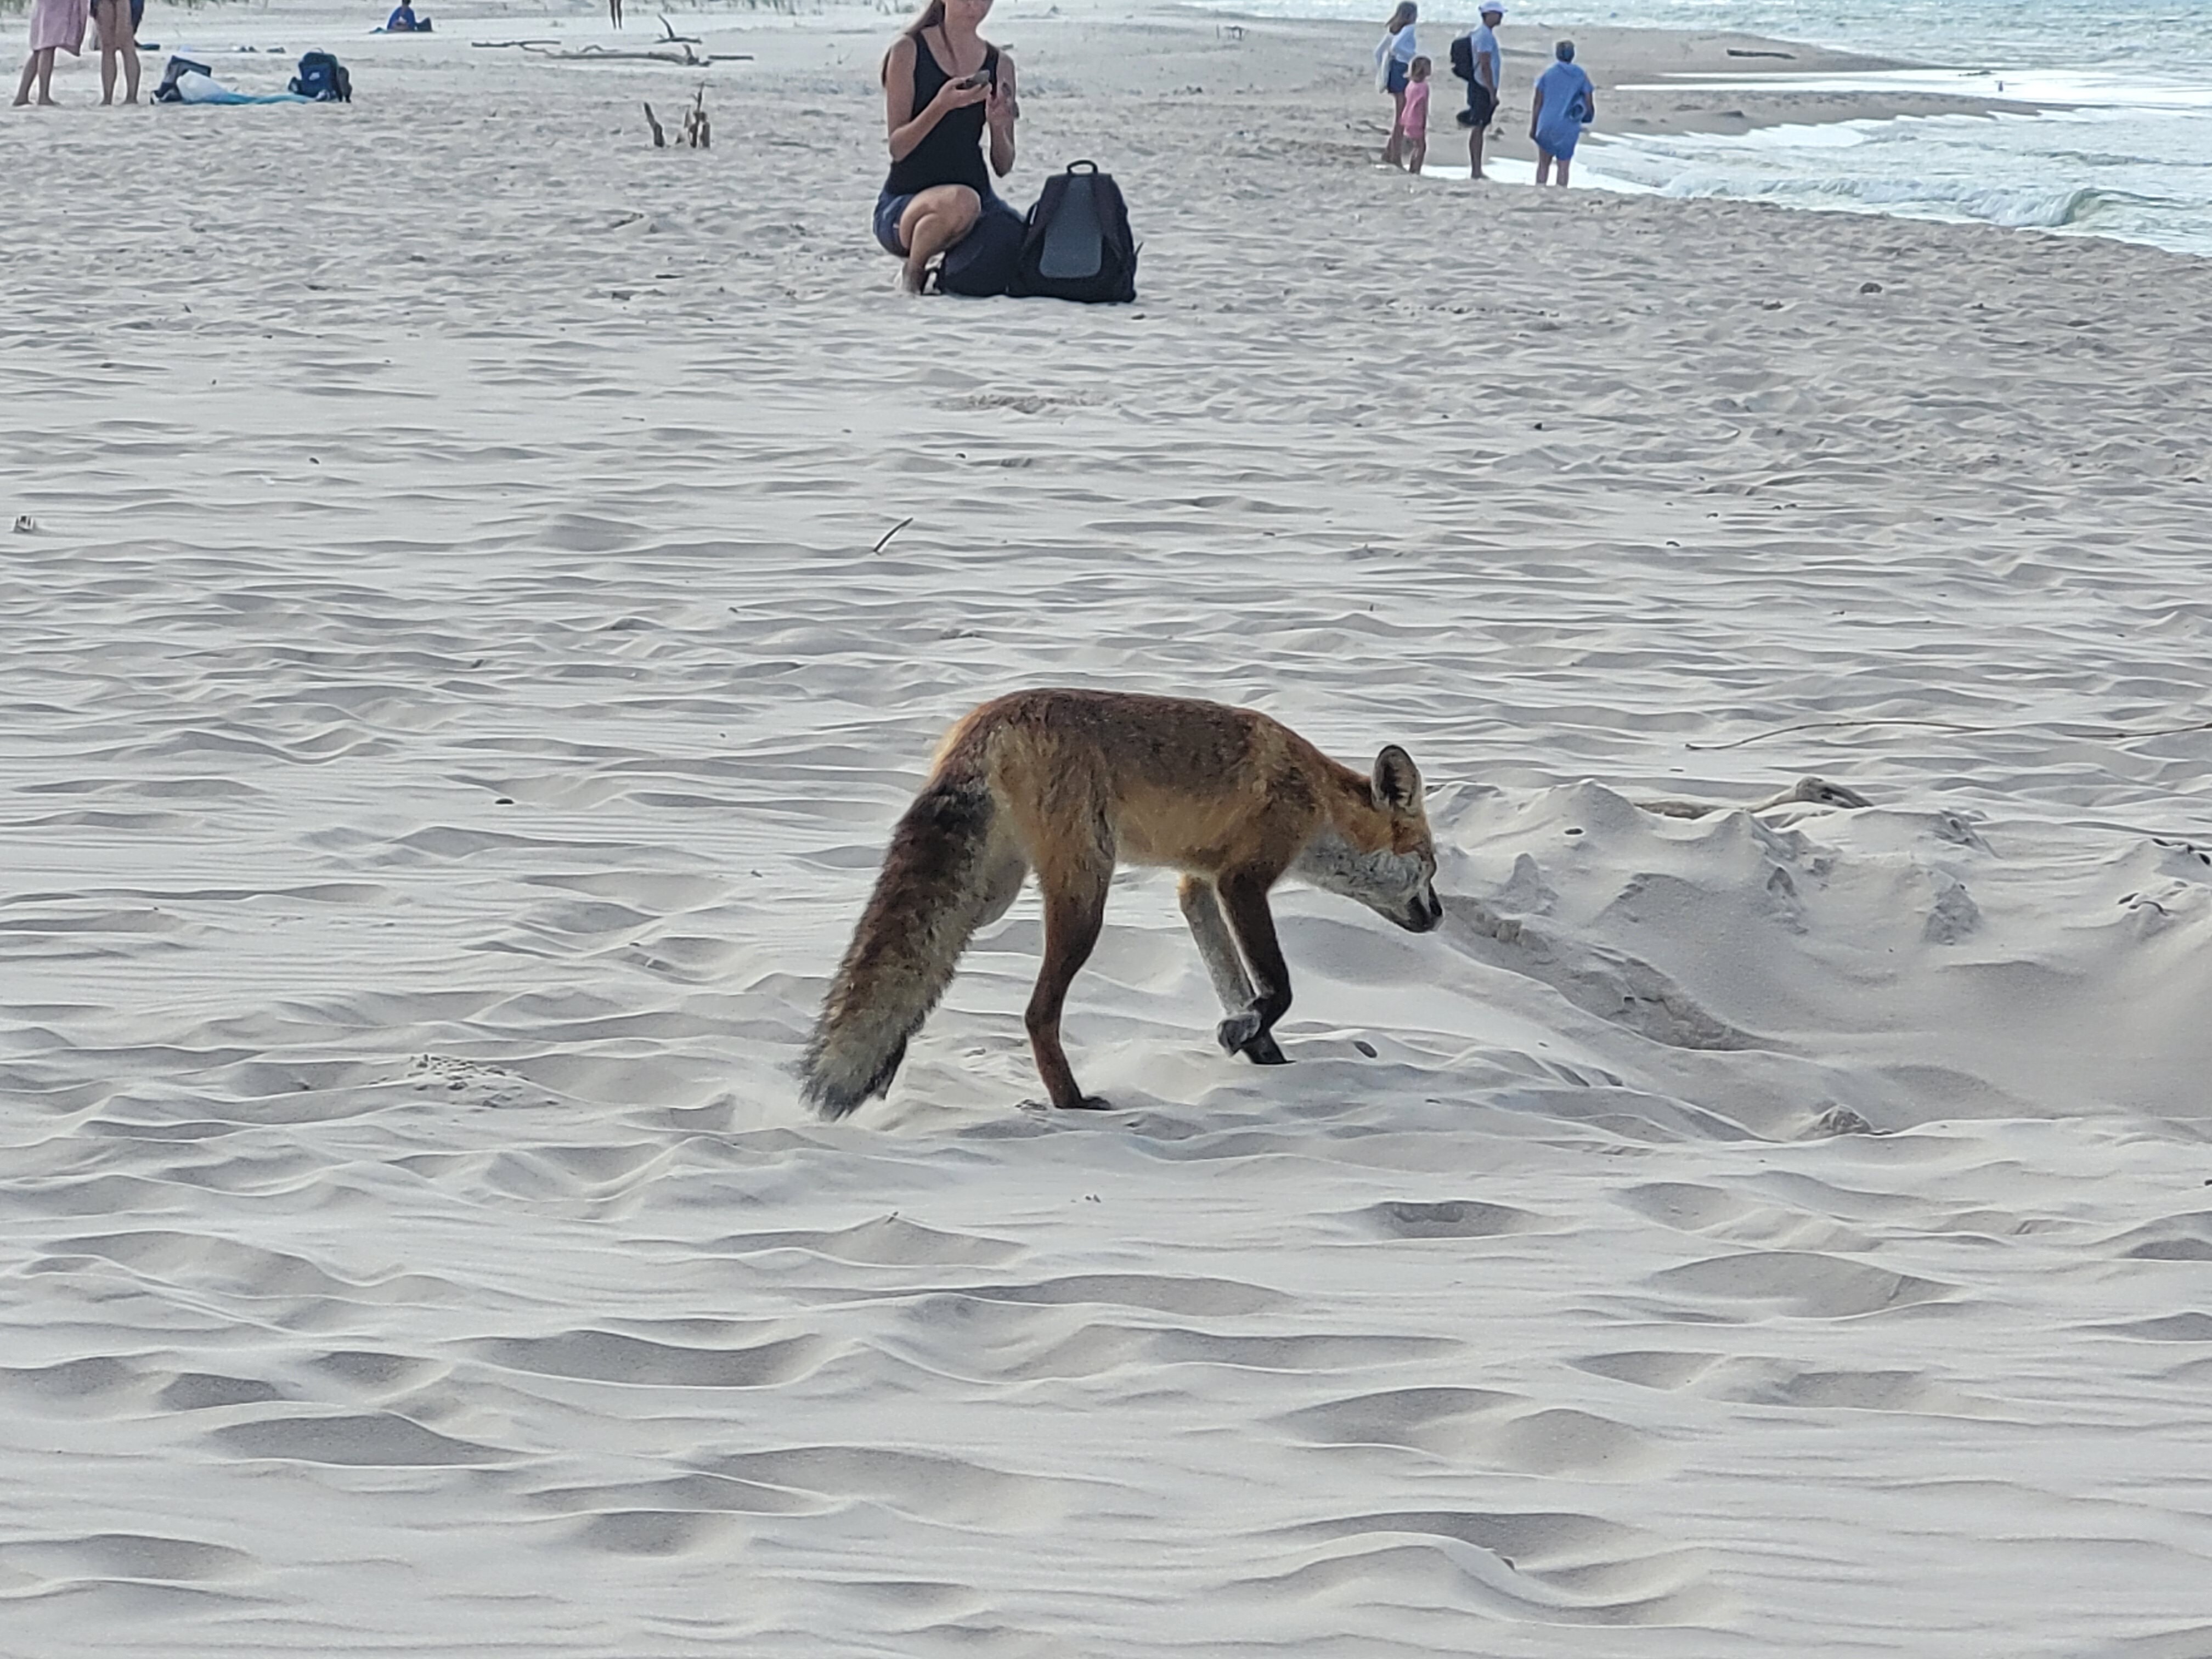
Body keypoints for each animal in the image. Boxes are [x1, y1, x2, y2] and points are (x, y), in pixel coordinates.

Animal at [799, 688, 1443, 1118]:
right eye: (1432, 865)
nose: (1438, 917)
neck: (1316, 801)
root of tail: (991, 718)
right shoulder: (1243, 881)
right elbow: (1279, 988)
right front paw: (1250, 1034)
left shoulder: (1197, 886)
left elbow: (1233, 983)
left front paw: (1262, 1054)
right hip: (1084, 901)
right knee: (1036, 1014)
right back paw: (1071, 1101)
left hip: (989, 895)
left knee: (911, 956)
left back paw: (889, 1059)